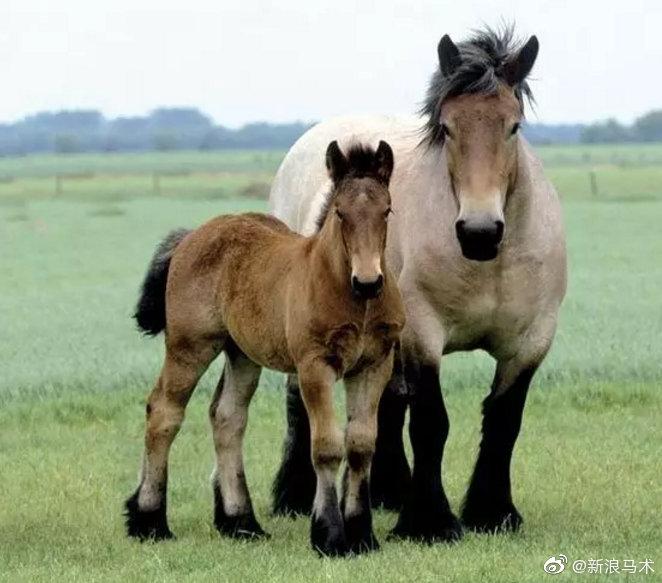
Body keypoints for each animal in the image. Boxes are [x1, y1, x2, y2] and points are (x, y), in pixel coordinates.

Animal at [124, 141, 404, 556]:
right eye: (340, 212)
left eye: (387, 210)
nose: (368, 281)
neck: (353, 298)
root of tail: (192, 235)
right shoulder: (314, 365)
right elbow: (326, 445)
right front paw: (330, 536)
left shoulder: (373, 365)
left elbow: (361, 445)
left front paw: (362, 534)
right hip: (190, 345)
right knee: (163, 411)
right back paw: (149, 520)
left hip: (241, 354)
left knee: (227, 416)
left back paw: (241, 522)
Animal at [272, 28, 572, 544]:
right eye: (447, 128)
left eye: (512, 127)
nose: (479, 232)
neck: (490, 263)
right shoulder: (422, 333)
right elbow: (432, 421)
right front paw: (430, 521)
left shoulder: (531, 341)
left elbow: (504, 422)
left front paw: (493, 512)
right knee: (300, 403)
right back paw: (293, 497)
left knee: (386, 404)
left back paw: (389, 492)